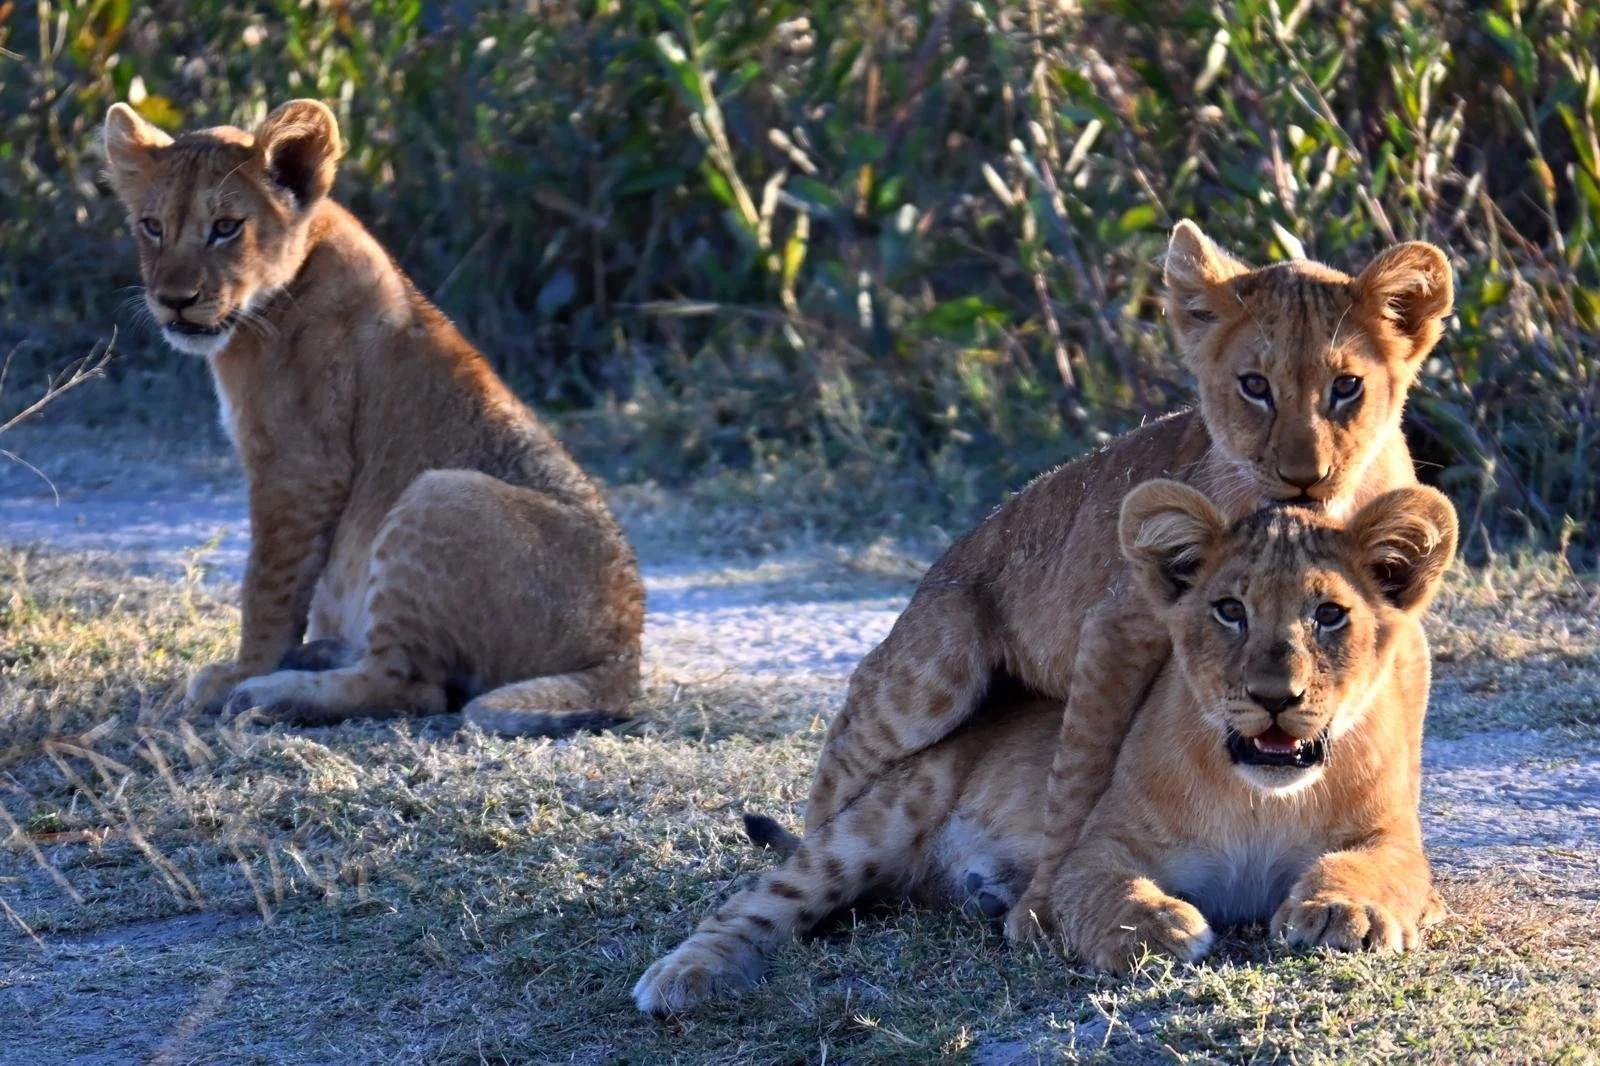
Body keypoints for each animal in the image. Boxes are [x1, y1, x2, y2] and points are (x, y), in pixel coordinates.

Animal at [103, 99, 644, 733]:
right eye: (152, 226)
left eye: (227, 227)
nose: (174, 301)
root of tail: (623, 658)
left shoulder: (301, 467)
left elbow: (268, 585)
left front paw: (243, 672)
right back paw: (313, 657)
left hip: (442, 492)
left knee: (410, 686)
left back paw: (273, 693)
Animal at [632, 479, 1457, 1012]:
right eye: (1229, 610)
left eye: (1329, 615)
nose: (1275, 697)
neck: (1262, 797)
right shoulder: (1098, 843)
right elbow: (1098, 888)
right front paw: (1154, 928)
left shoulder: (1395, 838)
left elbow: (1375, 867)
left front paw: (1342, 913)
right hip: (877, 818)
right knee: (755, 905)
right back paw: (678, 978)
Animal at [799, 221, 1454, 942]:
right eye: (1255, 385)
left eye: (1346, 386)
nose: (1304, 475)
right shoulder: (1118, 626)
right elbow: (1081, 775)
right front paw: (1046, 905)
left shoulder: (1405, 630)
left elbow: (1405, 743)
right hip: (936, 666)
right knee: (843, 767)